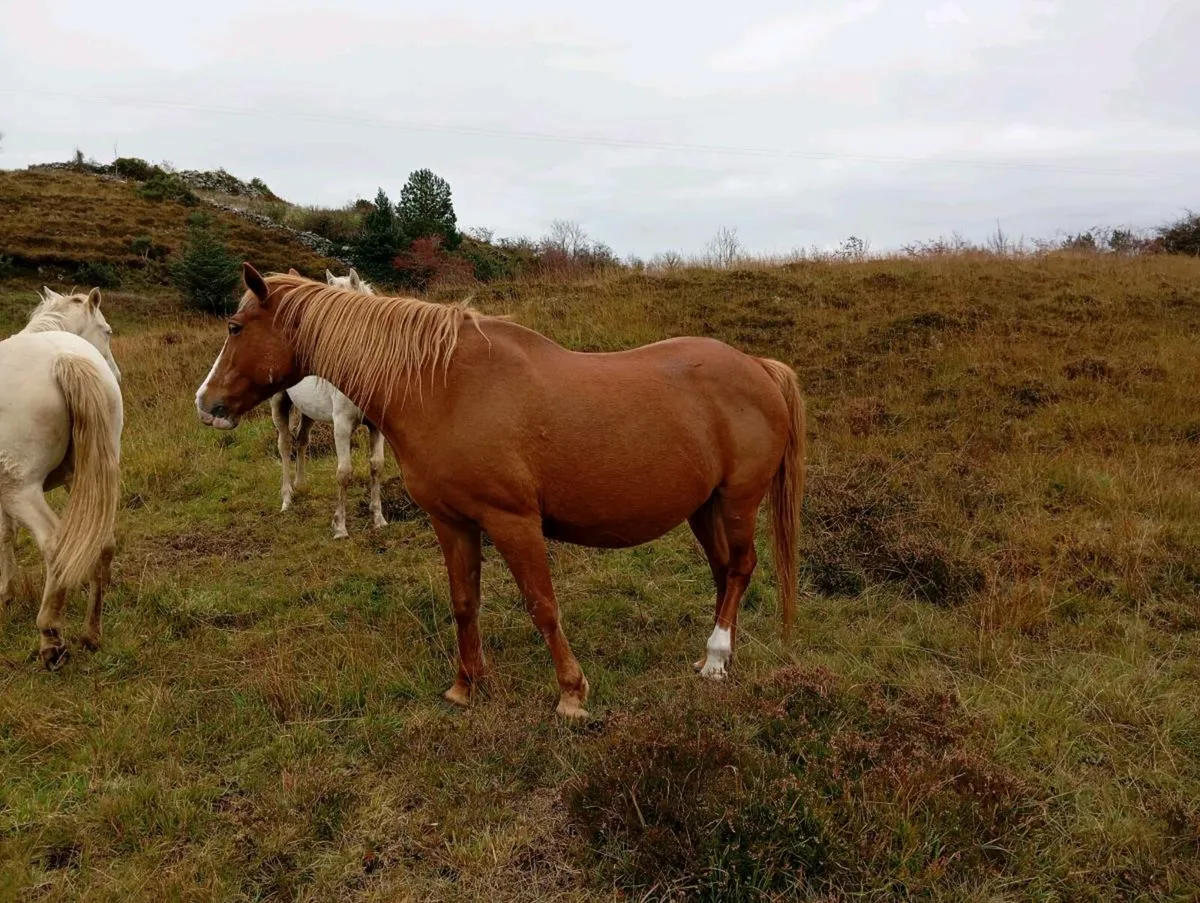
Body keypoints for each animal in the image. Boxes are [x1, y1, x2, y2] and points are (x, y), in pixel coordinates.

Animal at [0, 287, 124, 668]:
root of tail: (63, 358)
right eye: (107, 331)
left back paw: (51, 639)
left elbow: (4, 536)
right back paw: (91, 635)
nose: (117, 374)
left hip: (20, 491)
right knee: (104, 544)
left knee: (55, 544)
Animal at [267, 268, 387, 538]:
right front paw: (340, 527)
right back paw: (287, 498)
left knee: (302, 441)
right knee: (284, 445)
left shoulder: (377, 425)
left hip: (308, 412)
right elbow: (344, 473)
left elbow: (376, 466)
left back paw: (301, 484)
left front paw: (379, 518)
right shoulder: (341, 425)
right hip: (279, 403)